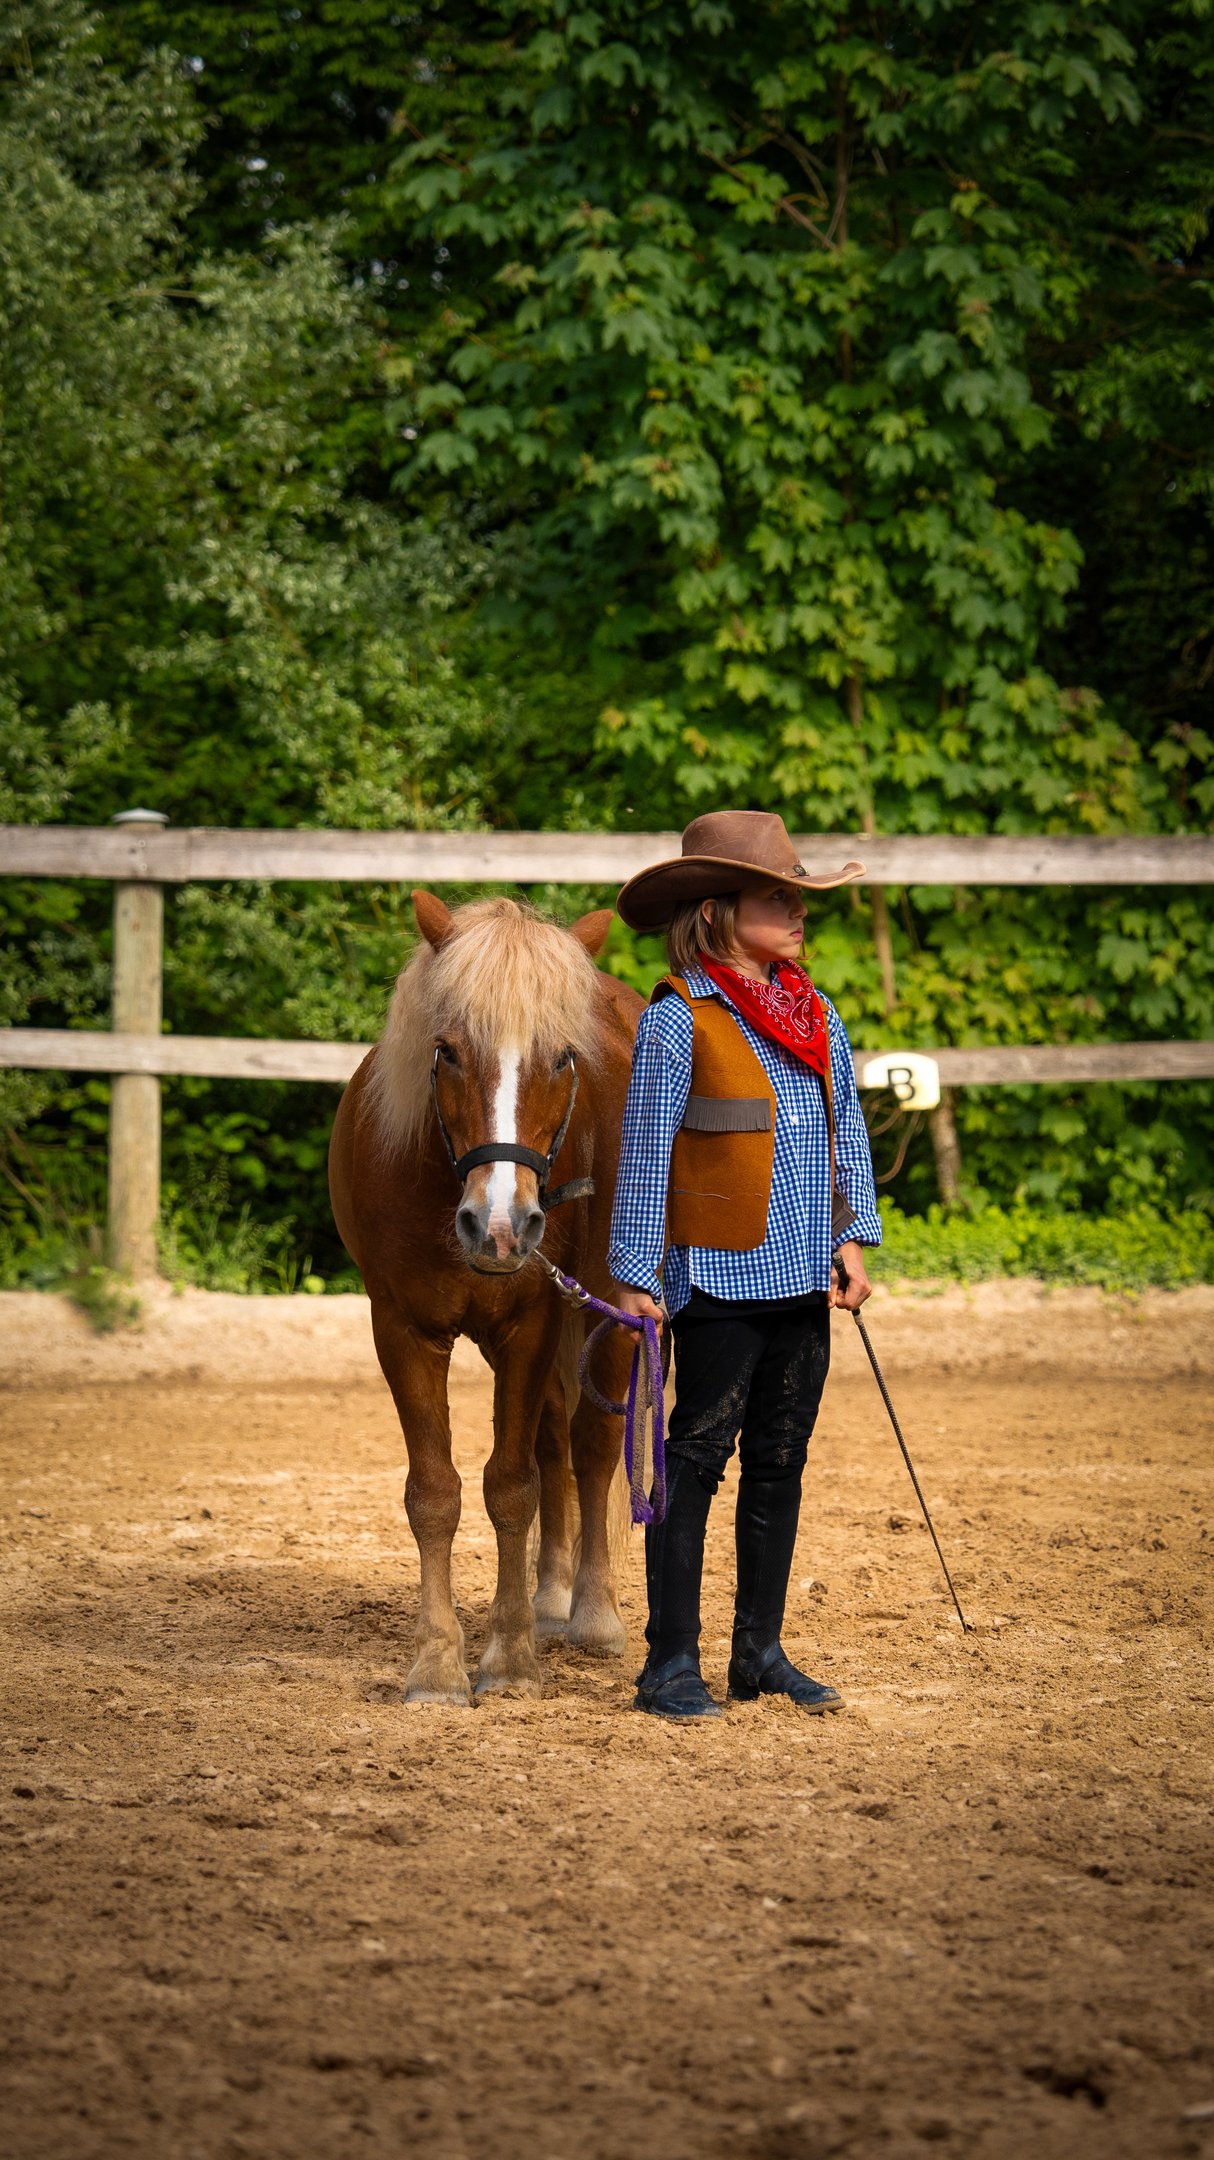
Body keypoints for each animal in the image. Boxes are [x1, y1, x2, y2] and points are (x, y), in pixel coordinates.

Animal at [328, 889, 645, 1704]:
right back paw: (552, 1600)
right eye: (445, 1051)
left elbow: (511, 1487)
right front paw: (438, 1663)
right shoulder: (402, 1330)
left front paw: (508, 1658)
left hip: (615, 1311)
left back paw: (593, 1614)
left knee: (593, 1448)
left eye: (563, 1057)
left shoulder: (531, 1325)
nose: (501, 1226)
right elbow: (435, 1493)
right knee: (557, 1444)